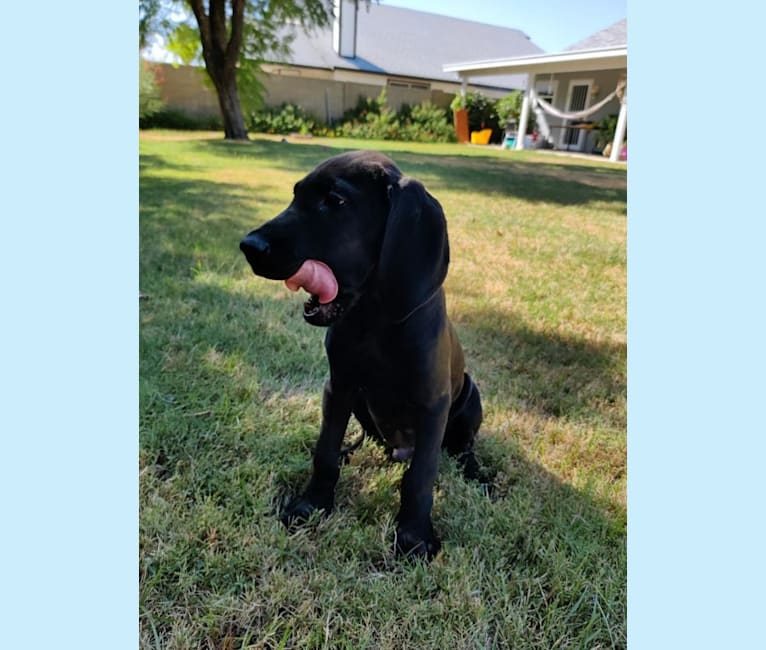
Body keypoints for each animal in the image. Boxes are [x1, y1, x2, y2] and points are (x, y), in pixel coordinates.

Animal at [240, 151, 484, 556]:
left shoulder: (432, 404)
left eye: (335, 202)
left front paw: (414, 536)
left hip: (470, 396)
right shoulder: (338, 387)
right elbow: (324, 451)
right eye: (296, 195)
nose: (249, 245)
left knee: (463, 448)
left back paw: (478, 474)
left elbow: (420, 477)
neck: (373, 319)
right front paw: (312, 504)